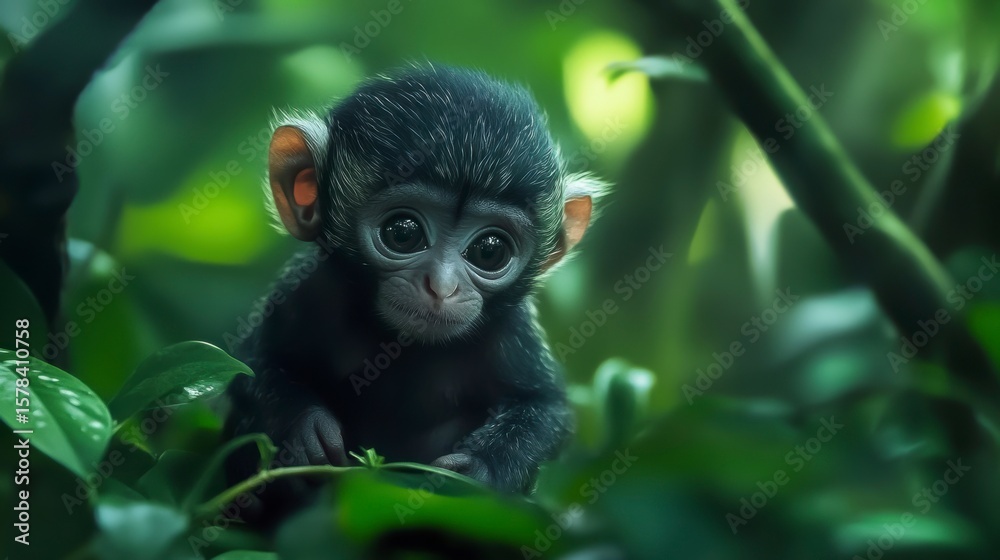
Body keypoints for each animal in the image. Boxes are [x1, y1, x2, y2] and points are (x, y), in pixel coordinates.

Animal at [222, 63, 606, 521]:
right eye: (402, 232)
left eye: (489, 250)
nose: (441, 286)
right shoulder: (307, 289)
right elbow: (250, 363)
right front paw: (304, 425)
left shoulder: (513, 329)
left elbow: (547, 407)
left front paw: (482, 469)